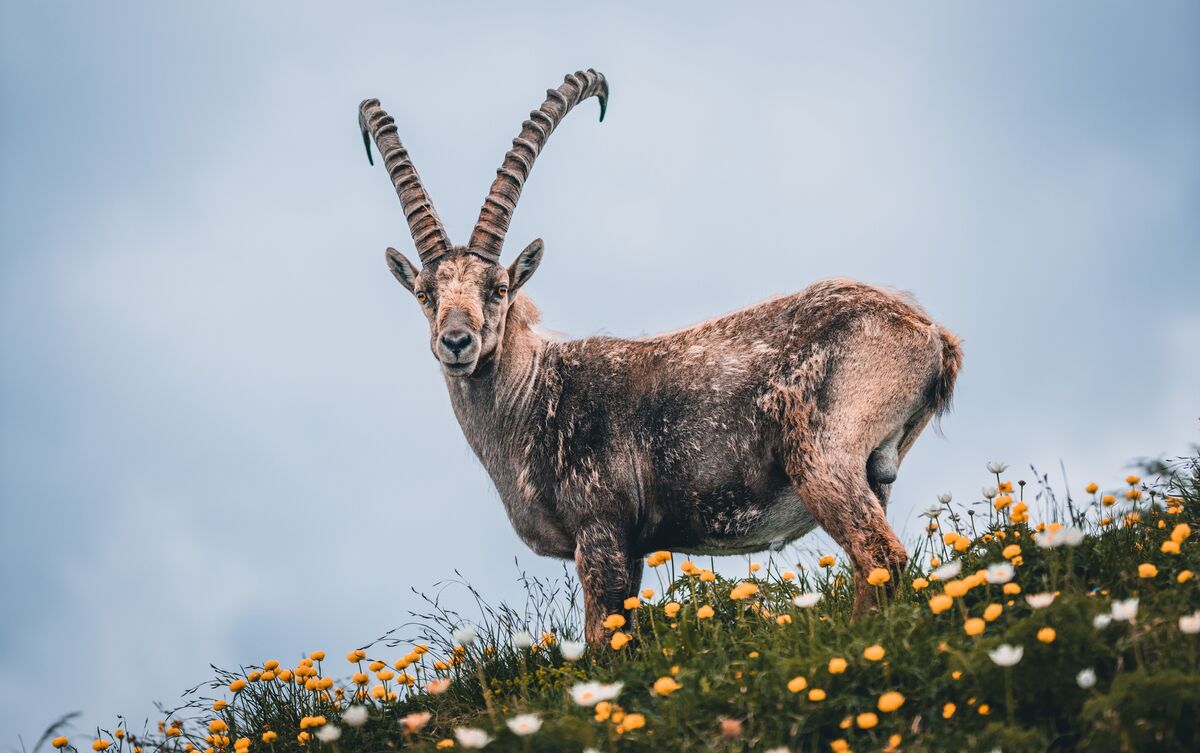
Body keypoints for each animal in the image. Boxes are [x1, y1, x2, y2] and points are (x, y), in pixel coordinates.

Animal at [357, 70, 964, 642]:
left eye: (499, 288)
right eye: (424, 293)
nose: (456, 341)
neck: (533, 399)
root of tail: (930, 334)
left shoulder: (601, 530)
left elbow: (605, 640)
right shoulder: (631, 549)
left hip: (823, 456)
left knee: (879, 556)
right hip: (875, 475)